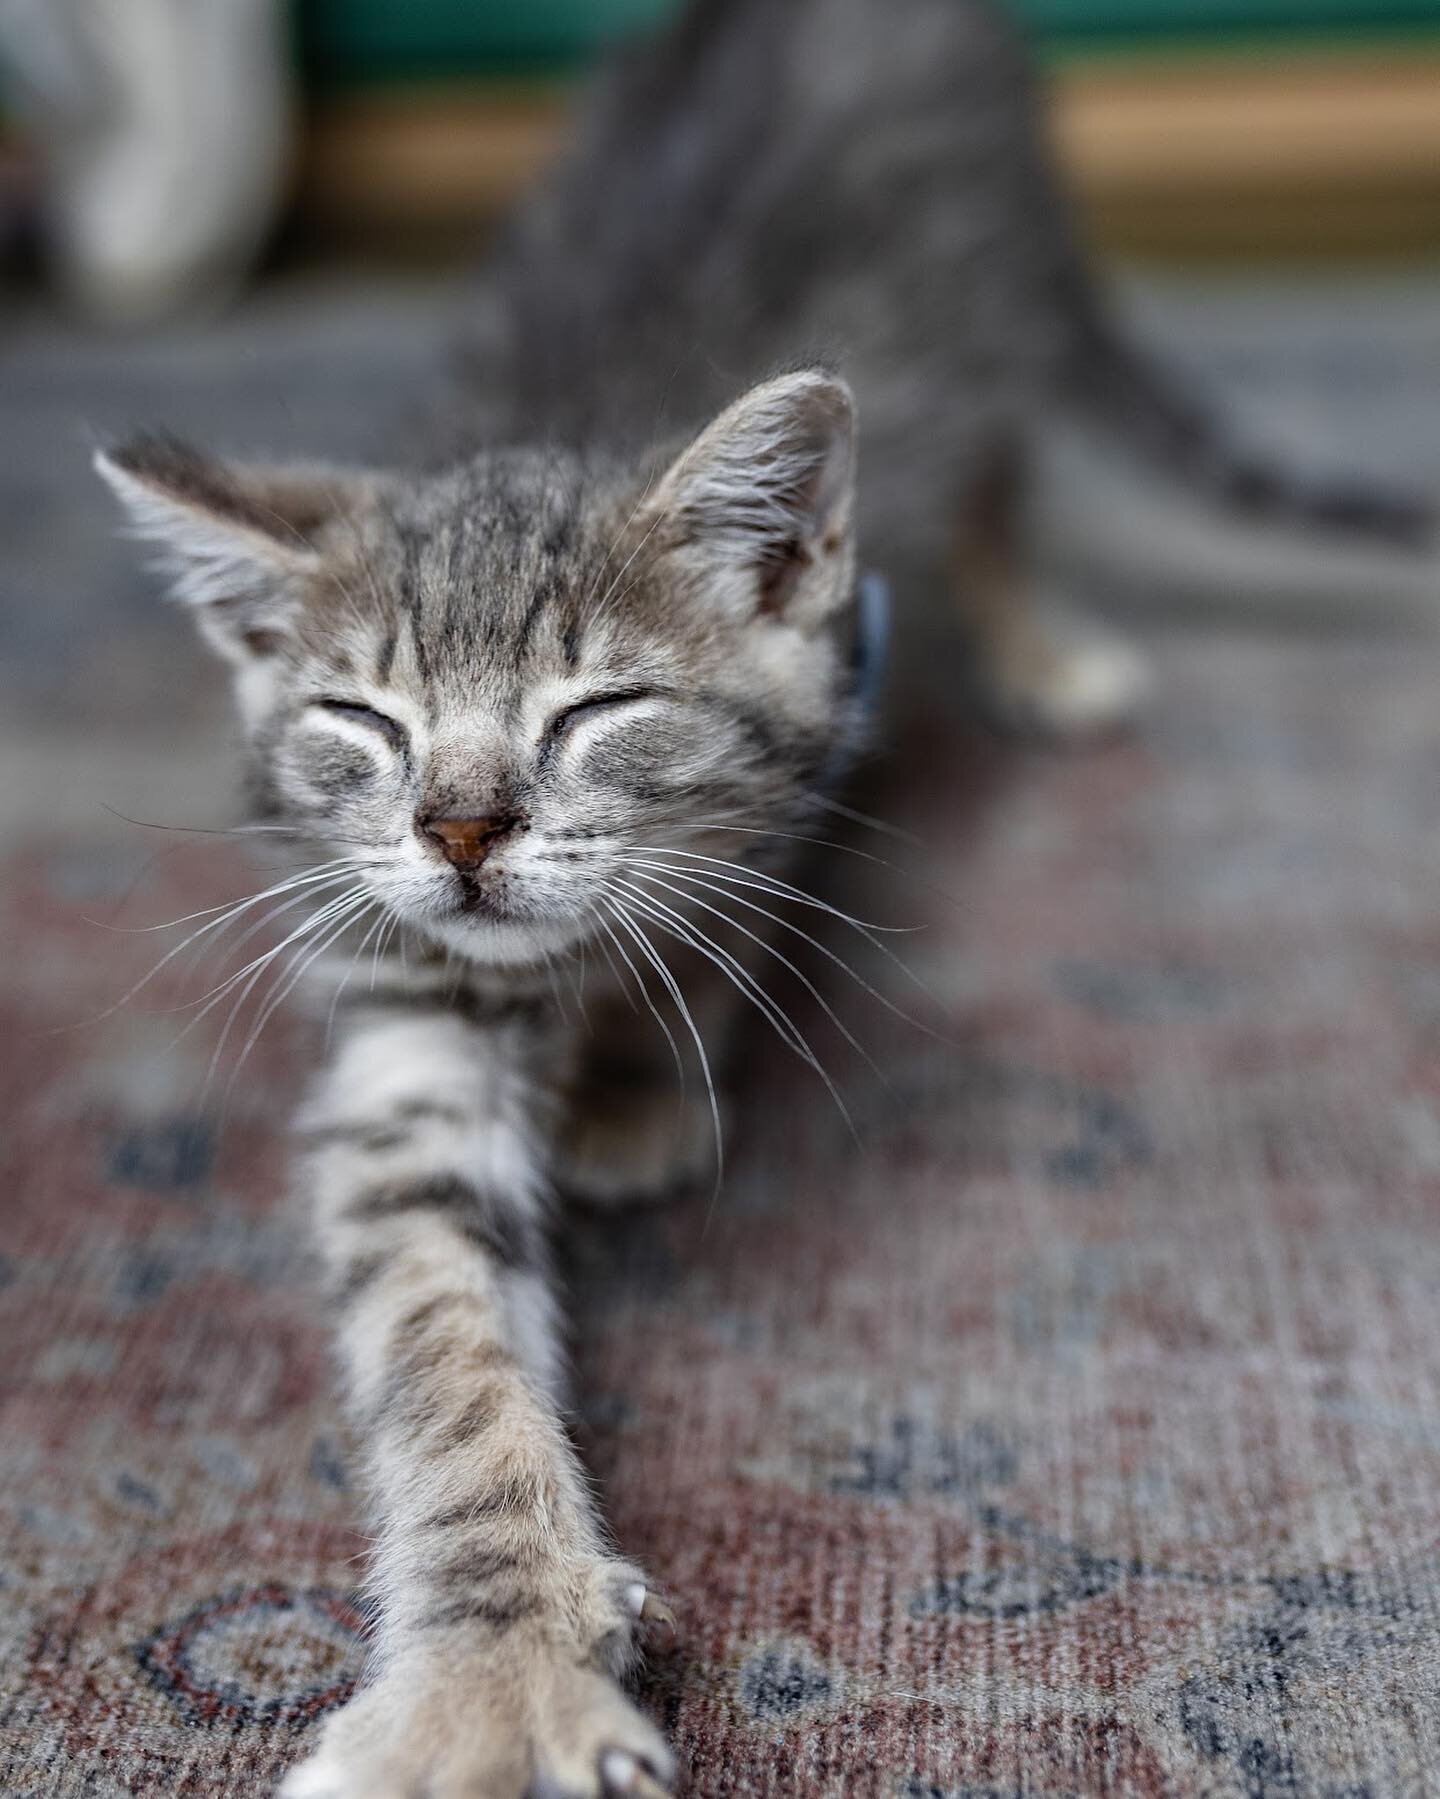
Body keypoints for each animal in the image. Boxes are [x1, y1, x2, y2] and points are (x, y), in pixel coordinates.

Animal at [95, 3, 1432, 1799]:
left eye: (593, 711)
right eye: (360, 725)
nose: (459, 830)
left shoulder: (811, 732)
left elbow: (717, 923)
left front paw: (640, 1076)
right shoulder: (401, 1003)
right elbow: (439, 1331)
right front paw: (491, 1663)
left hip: (980, 310)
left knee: (995, 469)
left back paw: (1039, 642)